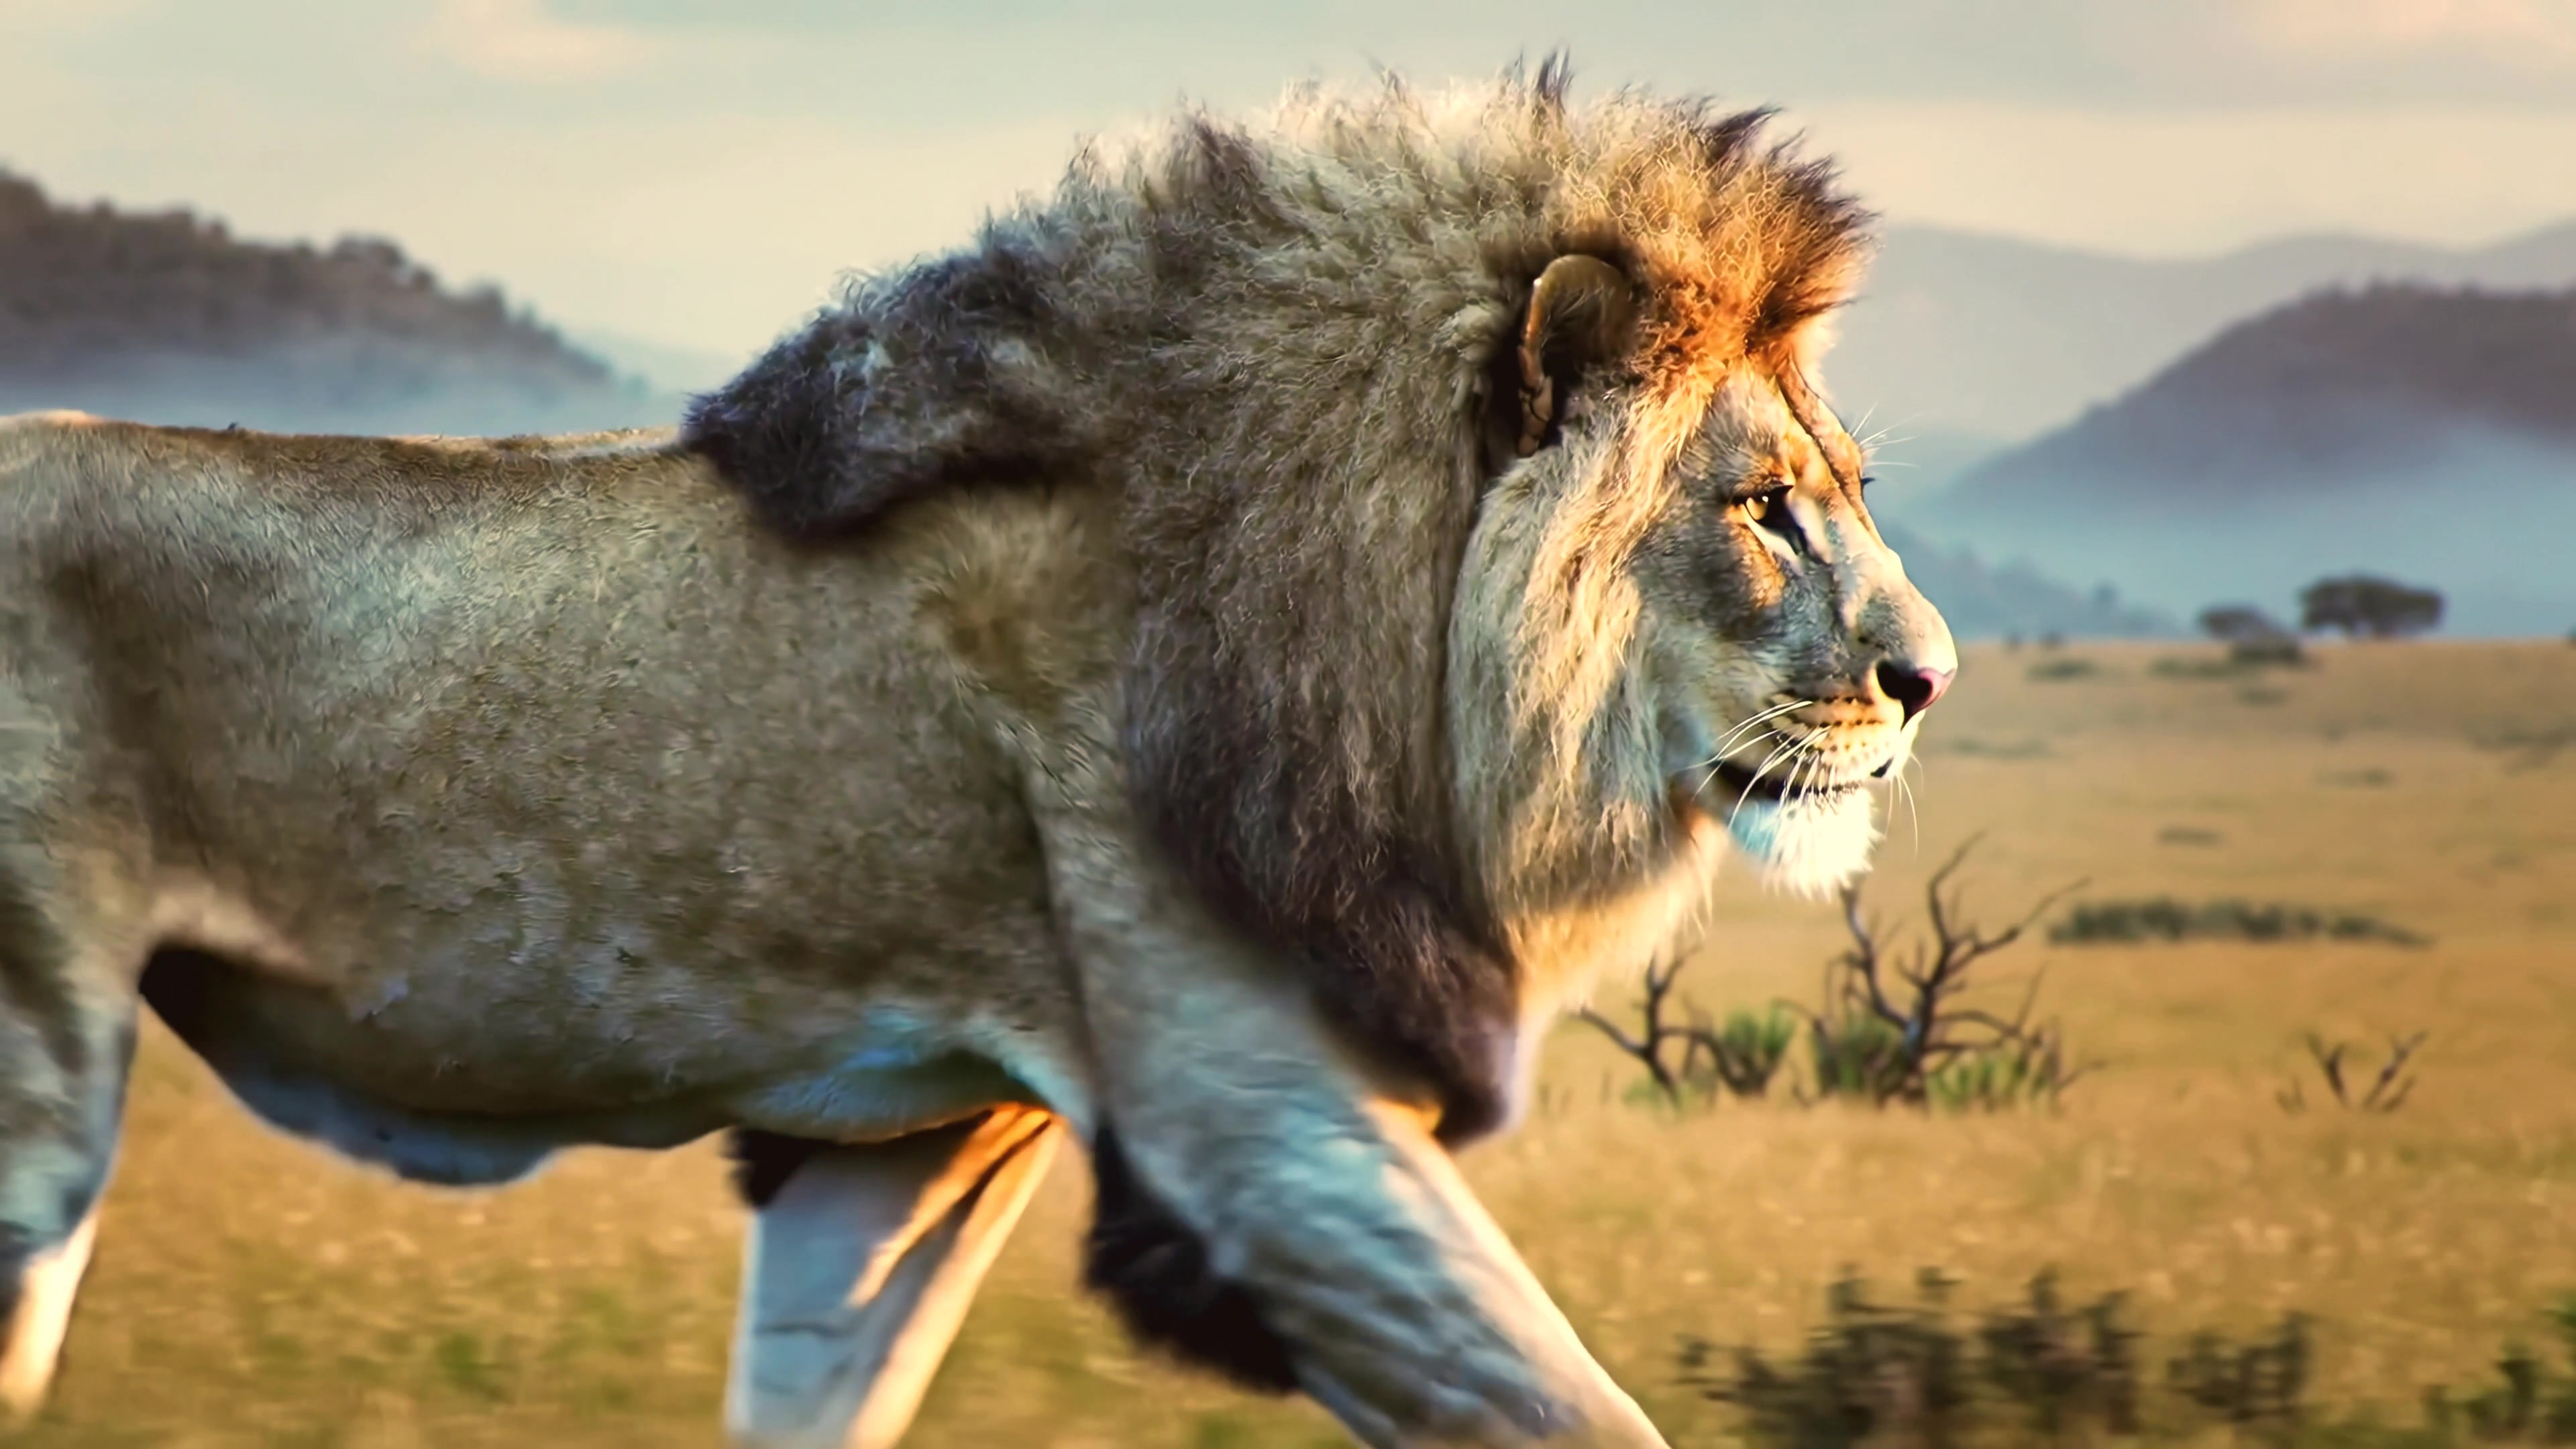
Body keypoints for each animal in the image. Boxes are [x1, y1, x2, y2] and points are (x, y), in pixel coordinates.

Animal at [0, 62, 1953, 1447]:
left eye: (1845, 488)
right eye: (1762, 508)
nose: (1927, 677)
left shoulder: (911, 1147)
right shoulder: (1264, 1138)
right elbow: (1563, 1410)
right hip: (36, 1079)